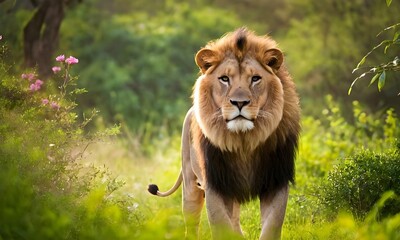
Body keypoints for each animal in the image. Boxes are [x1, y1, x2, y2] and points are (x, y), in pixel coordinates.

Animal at [148, 28, 300, 240]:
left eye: (255, 78)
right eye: (224, 79)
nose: (239, 102)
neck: (244, 142)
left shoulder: (276, 181)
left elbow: (272, 226)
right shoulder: (216, 184)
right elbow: (221, 224)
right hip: (190, 184)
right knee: (192, 222)